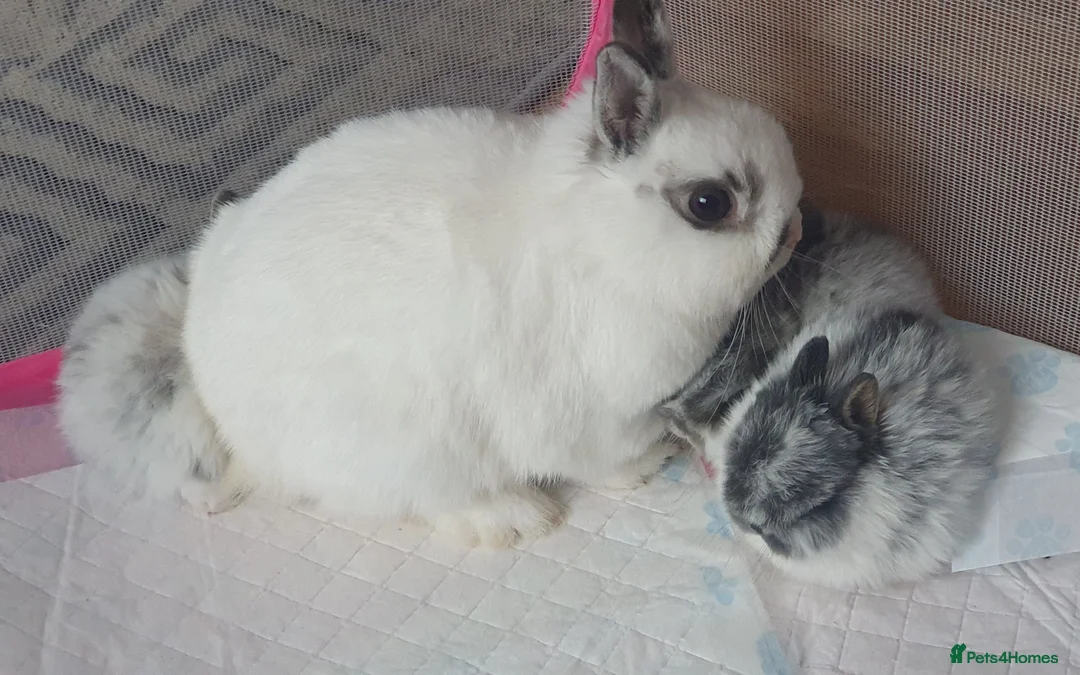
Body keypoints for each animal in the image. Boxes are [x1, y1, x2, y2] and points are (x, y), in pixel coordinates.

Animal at [57, 0, 805, 548]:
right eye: (709, 204)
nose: (796, 226)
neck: (606, 248)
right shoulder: (589, 419)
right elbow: (606, 460)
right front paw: (649, 464)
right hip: (411, 455)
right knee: (425, 503)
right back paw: (515, 518)